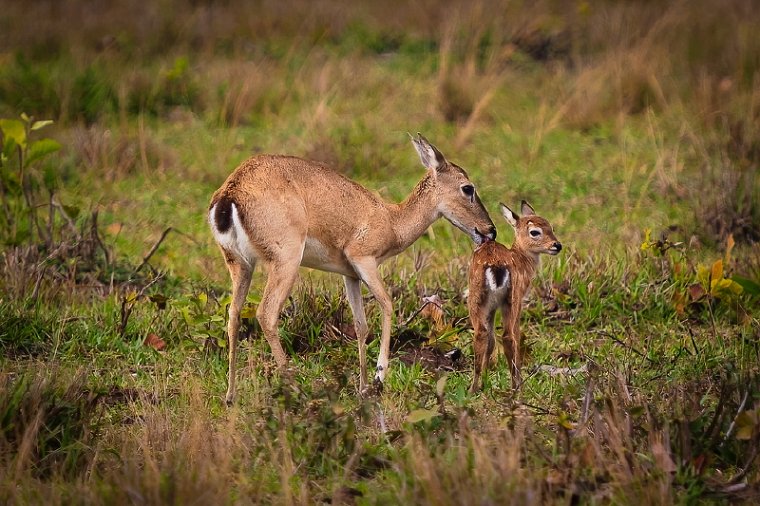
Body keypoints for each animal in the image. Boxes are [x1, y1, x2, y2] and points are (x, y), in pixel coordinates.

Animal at [211, 134, 496, 404]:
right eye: (467, 188)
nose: (490, 231)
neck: (391, 220)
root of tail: (231, 192)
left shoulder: (350, 276)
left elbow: (361, 325)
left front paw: (363, 387)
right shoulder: (364, 261)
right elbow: (387, 304)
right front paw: (380, 376)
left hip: (241, 266)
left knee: (233, 315)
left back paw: (230, 396)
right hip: (286, 263)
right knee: (266, 314)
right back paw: (297, 389)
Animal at [466, 201, 560, 392]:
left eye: (551, 227)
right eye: (535, 232)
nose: (557, 245)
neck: (521, 261)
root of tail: (496, 267)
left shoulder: (492, 307)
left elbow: (491, 342)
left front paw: (485, 382)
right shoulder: (518, 301)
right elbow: (513, 335)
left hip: (479, 299)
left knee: (481, 334)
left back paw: (473, 388)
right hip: (511, 300)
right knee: (510, 336)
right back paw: (517, 387)